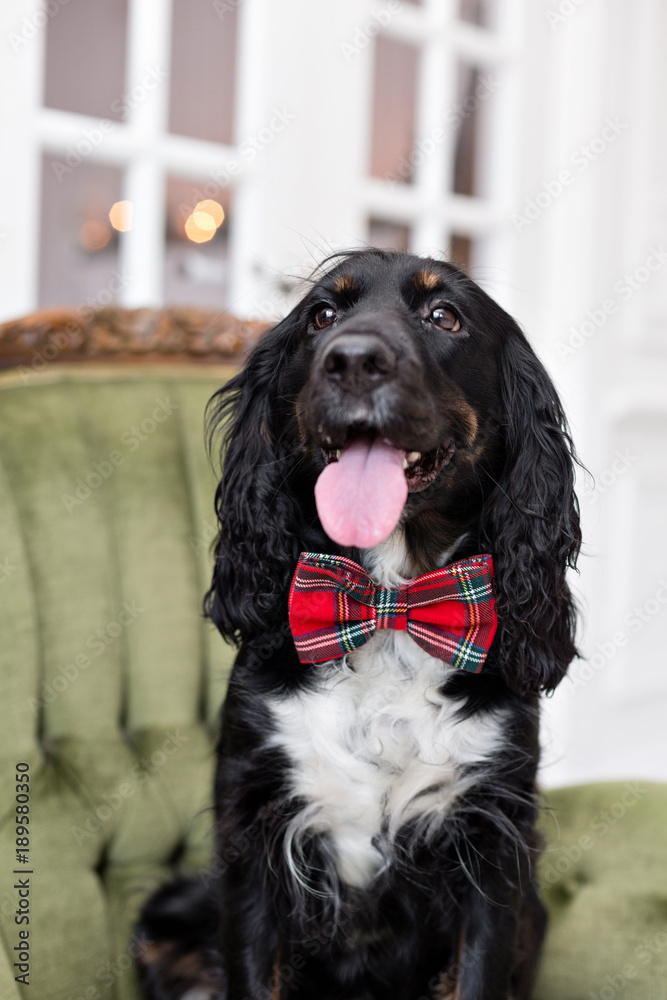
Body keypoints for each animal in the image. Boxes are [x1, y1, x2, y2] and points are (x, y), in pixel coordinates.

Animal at [137, 249, 581, 1000]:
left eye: (443, 316)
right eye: (322, 316)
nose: (351, 359)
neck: (388, 603)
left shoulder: (492, 844)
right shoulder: (254, 831)